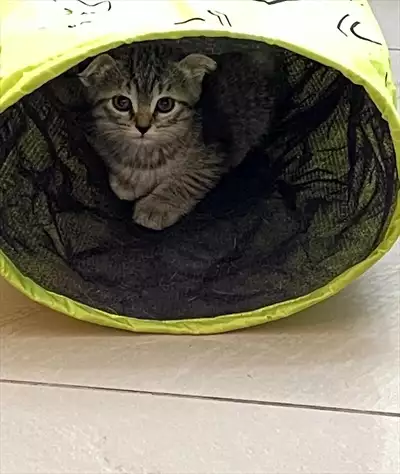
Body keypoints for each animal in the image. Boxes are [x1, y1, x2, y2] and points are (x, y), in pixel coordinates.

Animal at [76, 41, 223, 231]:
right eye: (122, 102)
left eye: (165, 104)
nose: (142, 127)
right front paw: (128, 181)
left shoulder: (213, 155)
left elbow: (191, 178)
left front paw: (156, 206)